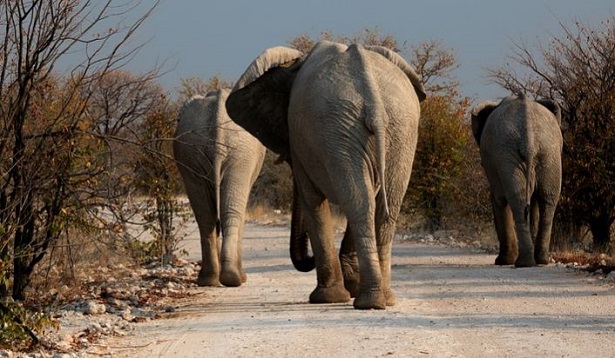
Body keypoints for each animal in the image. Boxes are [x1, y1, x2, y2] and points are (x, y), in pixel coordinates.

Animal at [176, 89, 268, 288]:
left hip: (193, 153)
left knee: (205, 215)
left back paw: (210, 280)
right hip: (240, 155)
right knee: (231, 212)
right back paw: (234, 279)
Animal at [224, 41, 426, 310]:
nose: (306, 259)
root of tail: (372, 98)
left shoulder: (302, 144)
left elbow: (312, 200)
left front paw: (328, 298)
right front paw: (346, 290)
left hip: (353, 131)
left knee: (361, 203)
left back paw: (369, 301)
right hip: (390, 129)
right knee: (380, 206)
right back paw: (382, 299)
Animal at [474, 93, 564, 268]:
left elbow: (499, 200)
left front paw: (501, 262)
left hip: (513, 154)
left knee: (519, 200)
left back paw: (523, 262)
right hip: (547, 154)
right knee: (546, 199)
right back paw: (539, 261)